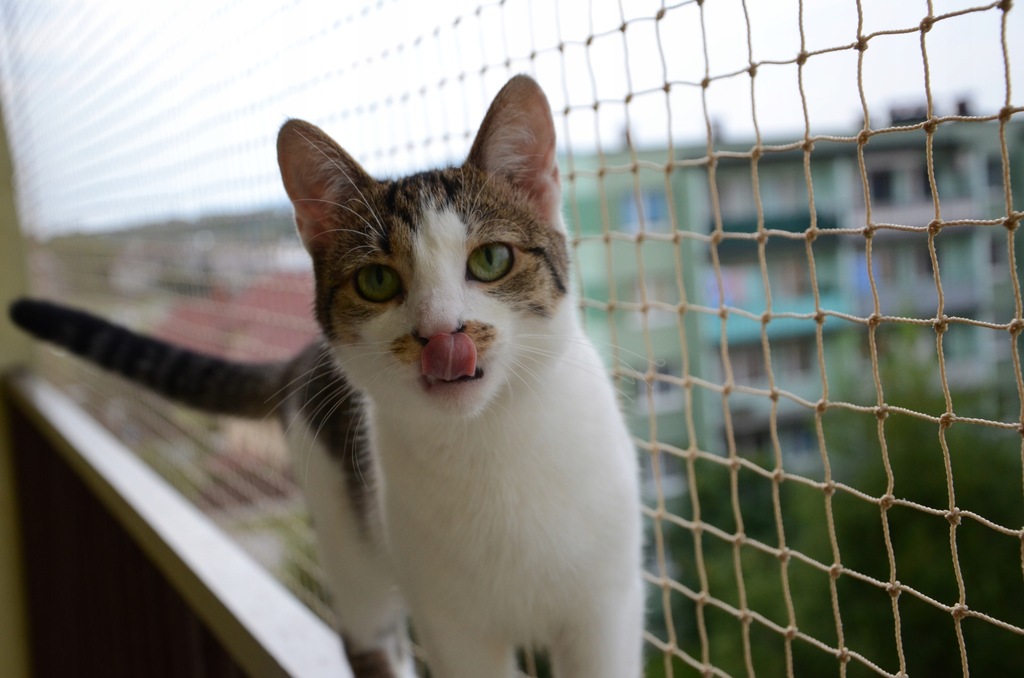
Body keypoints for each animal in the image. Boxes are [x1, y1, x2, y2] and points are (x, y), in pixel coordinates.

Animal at [8, 75, 643, 678]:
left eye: (491, 260)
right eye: (377, 282)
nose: (443, 335)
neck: (488, 441)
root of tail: (301, 359)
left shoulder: (605, 607)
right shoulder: (450, 625)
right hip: (346, 535)